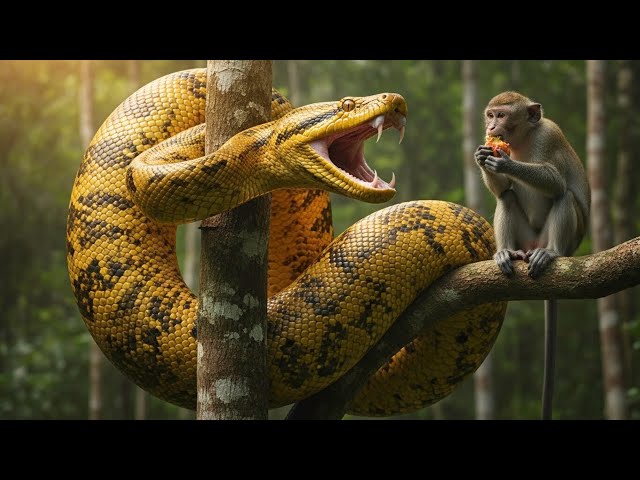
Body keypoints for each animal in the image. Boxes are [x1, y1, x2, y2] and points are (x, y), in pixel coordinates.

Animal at [474, 91, 590, 420]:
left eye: (501, 115)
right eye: (490, 115)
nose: (491, 127)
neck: (523, 140)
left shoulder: (549, 135)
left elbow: (555, 180)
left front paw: (503, 162)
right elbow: (502, 191)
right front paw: (485, 157)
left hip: (564, 241)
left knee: (563, 195)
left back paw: (550, 254)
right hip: (525, 238)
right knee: (507, 197)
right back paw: (505, 253)